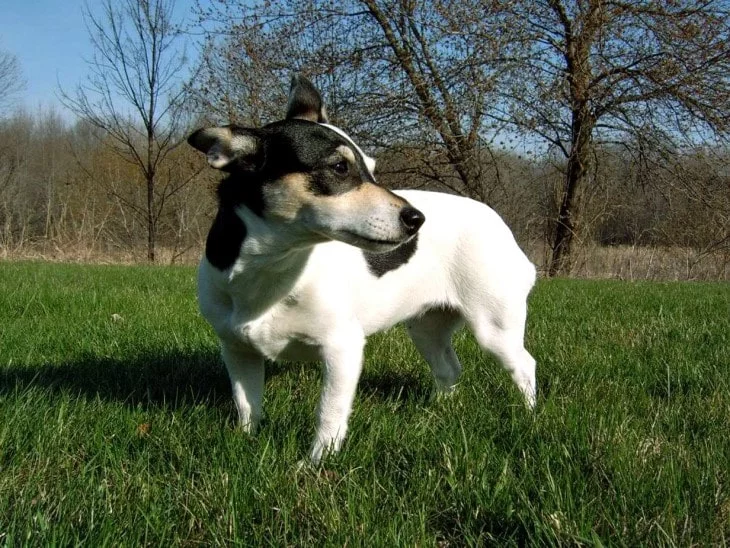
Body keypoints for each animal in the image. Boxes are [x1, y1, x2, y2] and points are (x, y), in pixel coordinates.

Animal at [188, 75, 536, 464]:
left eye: (371, 168)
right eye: (340, 168)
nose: (417, 218)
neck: (275, 267)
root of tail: (500, 224)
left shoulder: (342, 350)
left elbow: (329, 413)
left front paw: (315, 463)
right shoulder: (238, 351)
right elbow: (247, 405)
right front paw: (247, 441)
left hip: (494, 328)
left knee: (525, 366)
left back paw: (529, 414)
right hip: (426, 329)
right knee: (449, 368)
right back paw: (437, 411)